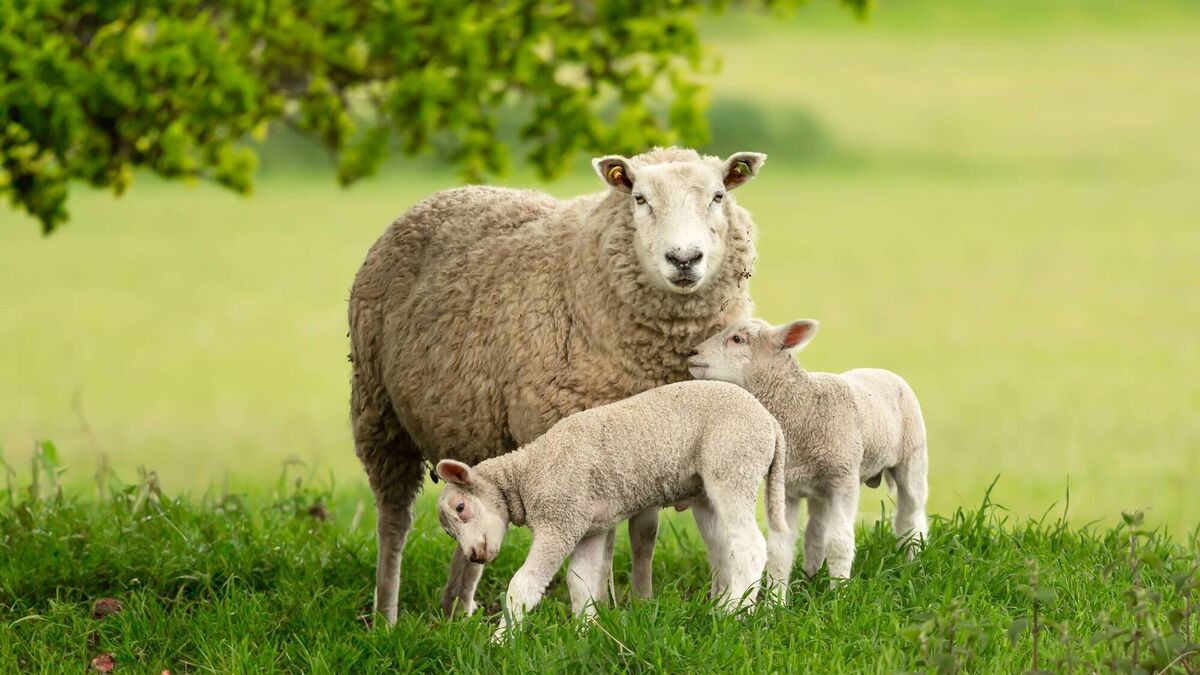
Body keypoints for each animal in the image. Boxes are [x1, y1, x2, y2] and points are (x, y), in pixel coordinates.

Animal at [349, 147, 769, 622]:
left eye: (718, 195)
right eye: (639, 198)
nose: (684, 259)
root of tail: (448, 192)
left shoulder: (649, 444)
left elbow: (643, 531)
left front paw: (639, 602)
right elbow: (601, 544)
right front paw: (603, 606)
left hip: (473, 429)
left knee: (474, 506)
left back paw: (457, 605)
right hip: (377, 412)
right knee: (393, 520)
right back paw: (386, 617)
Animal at [432, 379, 791, 641]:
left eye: (461, 507)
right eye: (448, 531)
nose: (475, 555)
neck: (527, 474)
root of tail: (771, 422)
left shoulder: (560, 520)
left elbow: (524, 584)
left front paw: (500, 640)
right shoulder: (589, 527)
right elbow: (581, 582)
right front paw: (585, 631)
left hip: (733, 465)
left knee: (750, 546)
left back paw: (736, 612)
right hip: (709, 490)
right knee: (734, 548)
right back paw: (727, 608)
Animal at [687, 318, 929, 583]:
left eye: (738, 339)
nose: (692, 353)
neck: (807, 407)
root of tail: (882, 371)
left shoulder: (844, 479)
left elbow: (839, 543)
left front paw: (840, 591)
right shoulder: (785, 488)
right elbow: (780, 550)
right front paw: (776, 595)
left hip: (912, 458)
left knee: (911, 515)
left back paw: (914, 563)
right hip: (819, 489)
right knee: (816, 532)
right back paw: (812, 576)